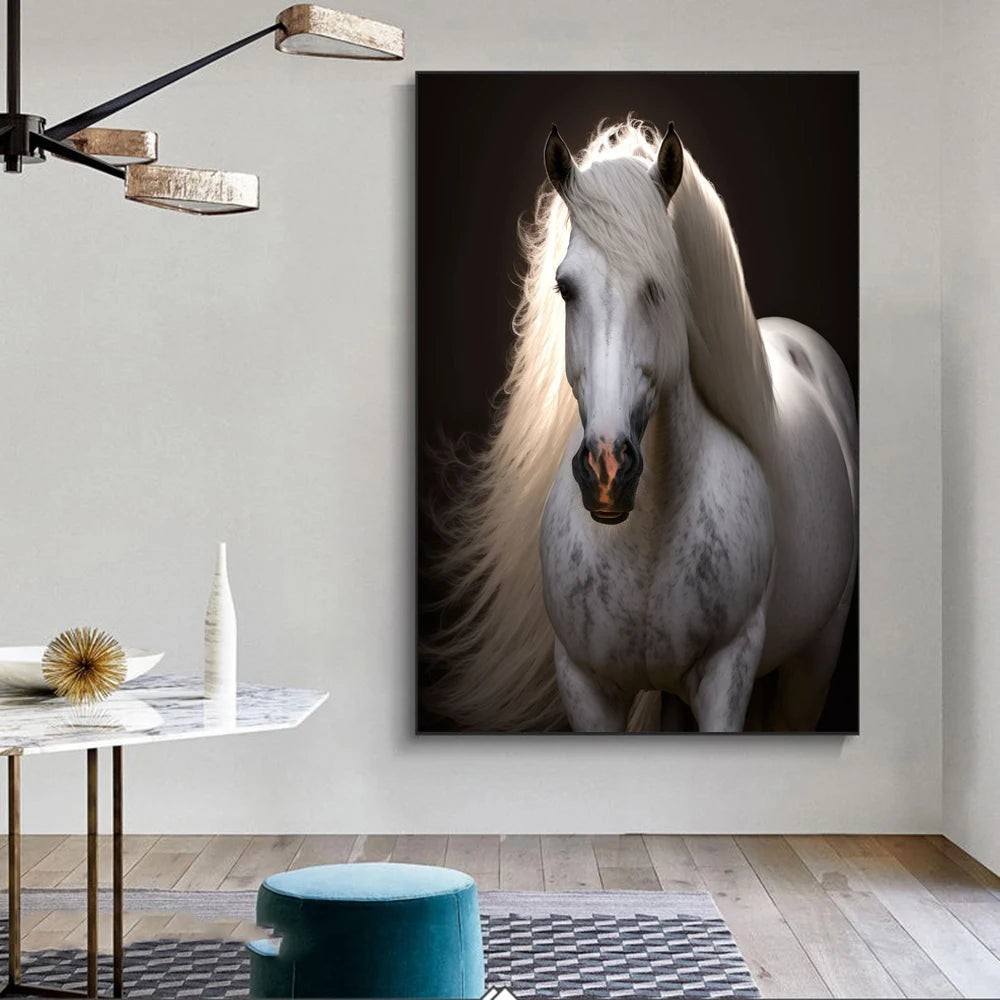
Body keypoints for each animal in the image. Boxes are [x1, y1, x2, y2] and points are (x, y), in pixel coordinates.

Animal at [425, 119, 858, 733]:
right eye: (565, 287)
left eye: (660, 286)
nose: (607, 471)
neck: (645, 540)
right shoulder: (584, 685)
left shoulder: (727, 675)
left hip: (816, 657)